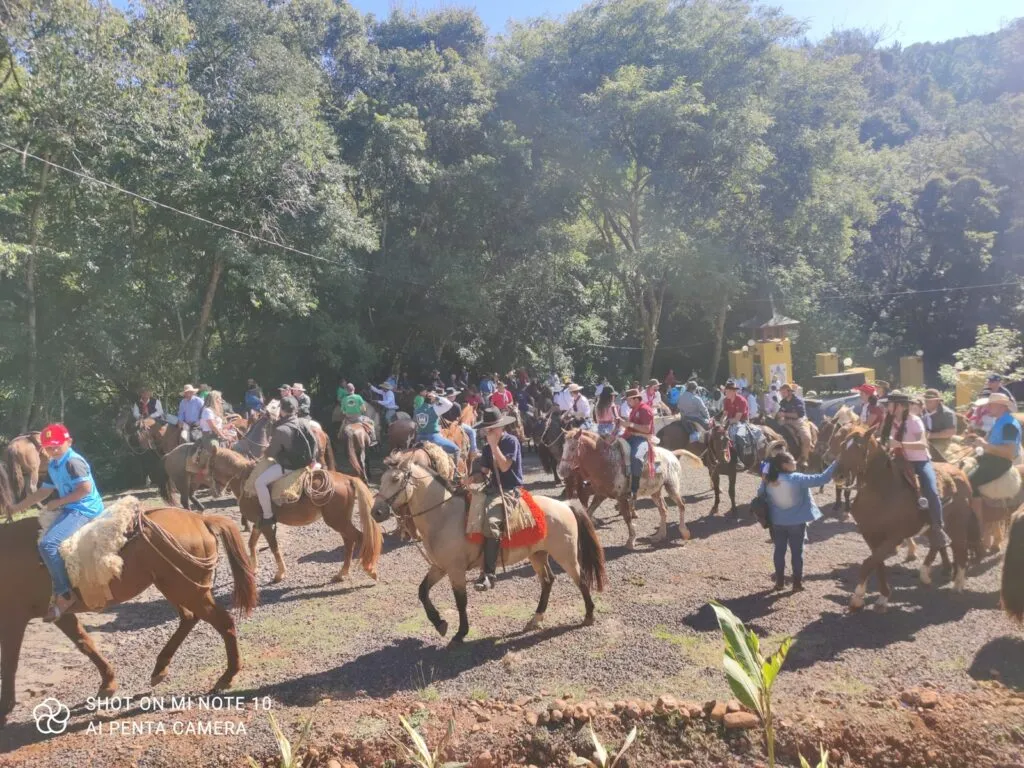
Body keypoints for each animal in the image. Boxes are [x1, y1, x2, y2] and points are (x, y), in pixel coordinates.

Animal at [0, 462, 254, 729]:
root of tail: (199, 519)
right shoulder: (60, 614)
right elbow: (85, 644)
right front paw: (108, 684)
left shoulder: (13, 618)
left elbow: (9, 662)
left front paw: (5, 708)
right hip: (173, 586)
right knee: (189, 618)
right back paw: (160, 668)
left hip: (187, 589)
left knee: (223, 622)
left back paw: (227, 676)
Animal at [201, 444, 382, 581]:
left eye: (210, 465)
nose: (214, 492)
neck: (246, 480)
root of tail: (346, 479)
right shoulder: (259, 523)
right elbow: (251, 544)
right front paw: (254, 568)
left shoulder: (265, 525)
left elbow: (274, 547)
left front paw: (280, 574)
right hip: (341, 521)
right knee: (349, 541)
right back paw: (342, 573)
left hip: (337, 521)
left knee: (359, 538)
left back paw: (370, 570)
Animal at [370, 454, 602, 647]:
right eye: (382, 480)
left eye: (395, 479)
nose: (376, 512)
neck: (444, 515)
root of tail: (565, 505)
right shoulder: (440, 567)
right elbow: (422, 591)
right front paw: (439, 623)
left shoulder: (455, 570)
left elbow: (460, 601)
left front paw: (460, 633)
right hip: (537, 555)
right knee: (547, 581)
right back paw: (535, 619)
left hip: (566, 556)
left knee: (581, 580)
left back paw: (589, 616)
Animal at [557, 430, 700, 548]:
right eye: (563, 447)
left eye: (573, 447)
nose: (562, 471)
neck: (606, 462)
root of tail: (671, 454)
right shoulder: (601, 494)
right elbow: (589, 512)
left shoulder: (621, 497)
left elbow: (627, 517)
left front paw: (631, 540)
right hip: (655, 492)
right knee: (663, 510)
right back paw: (659, 535)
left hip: (672, 487)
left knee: (681, 505)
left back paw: (684, 532)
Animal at [831, 421, 974, 614]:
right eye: (842, 444)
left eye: (860, 447)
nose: (838, 475)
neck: (882, 491)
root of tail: (959, 472)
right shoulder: (870, 534)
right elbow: (877, 563)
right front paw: (883, 597)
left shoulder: (894, 537)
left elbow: (868, 563)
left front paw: (857, 598)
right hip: (933, 527)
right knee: (938, 543)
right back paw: (926, 575)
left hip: (957, 524)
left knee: (961, 550)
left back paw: (957, 585)